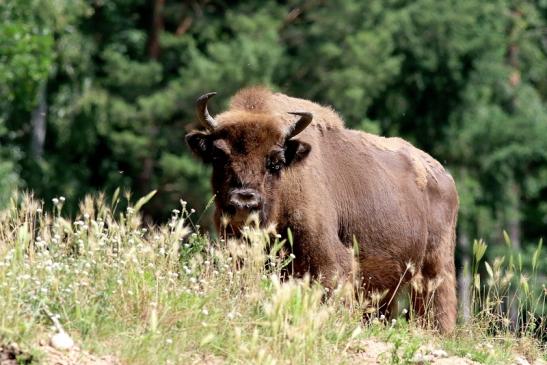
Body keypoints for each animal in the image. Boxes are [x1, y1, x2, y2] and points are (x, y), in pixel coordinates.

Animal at [186, 86, 460, 332]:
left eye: (276, 161)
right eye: (218, 156)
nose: (244, 202)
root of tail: (444, 175)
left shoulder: (331, 260)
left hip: (435, 267)